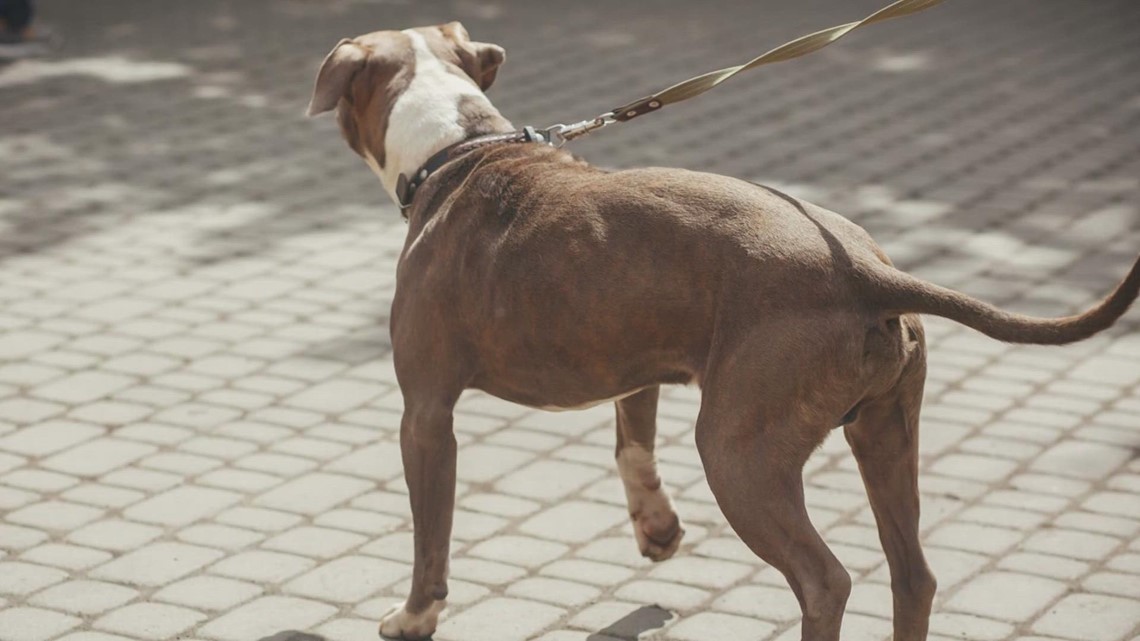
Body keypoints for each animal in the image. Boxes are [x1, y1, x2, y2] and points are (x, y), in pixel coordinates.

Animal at [310, 21, 1140, 638]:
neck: (459, 149)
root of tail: (865, 270)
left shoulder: (425, 410)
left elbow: (430, 532)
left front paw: (415, 614)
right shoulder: (630, 361)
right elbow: (632, 447)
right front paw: (658, 529)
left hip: (741, 450)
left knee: (825, 580)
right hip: (885, 431)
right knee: (913, 573)